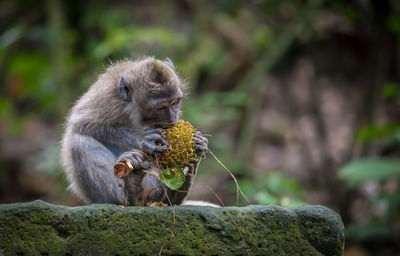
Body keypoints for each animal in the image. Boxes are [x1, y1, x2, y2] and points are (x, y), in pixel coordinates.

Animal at [61, 57, 209, 205]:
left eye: (175, 102)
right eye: (161, 107)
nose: (172, 119)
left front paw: (199, 141)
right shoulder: (108, 100)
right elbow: (82, 123)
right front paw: (143, 138)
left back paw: (176, 192)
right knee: (78, 143)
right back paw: (128, 195)